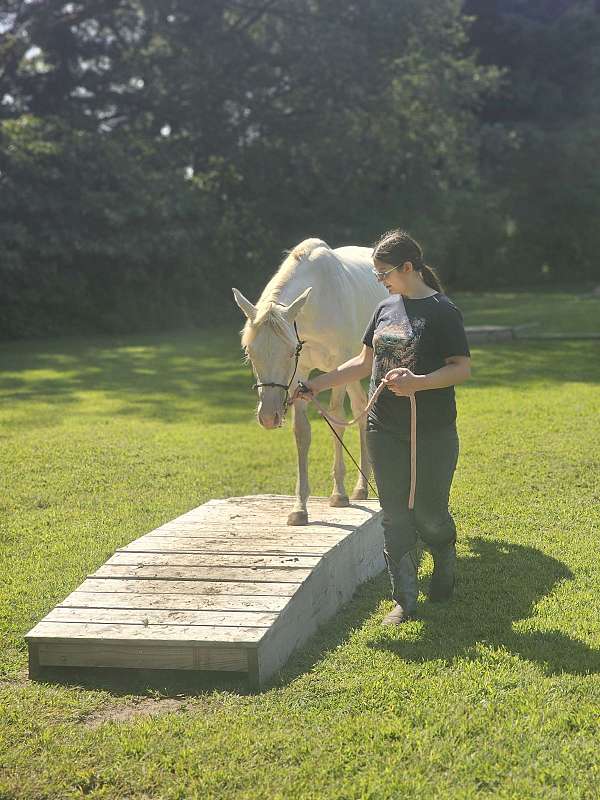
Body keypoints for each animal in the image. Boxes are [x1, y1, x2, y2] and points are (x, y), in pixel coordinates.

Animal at [232, 238, 386, 524]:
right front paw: (299, 507)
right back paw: (361, 488)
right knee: (360, 407)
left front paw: (339, 495)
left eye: (290, 351)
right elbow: (302, 432)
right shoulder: (300, 373)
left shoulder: (338, 366)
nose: (268, 416)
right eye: (249, 352)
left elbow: (336, 420)